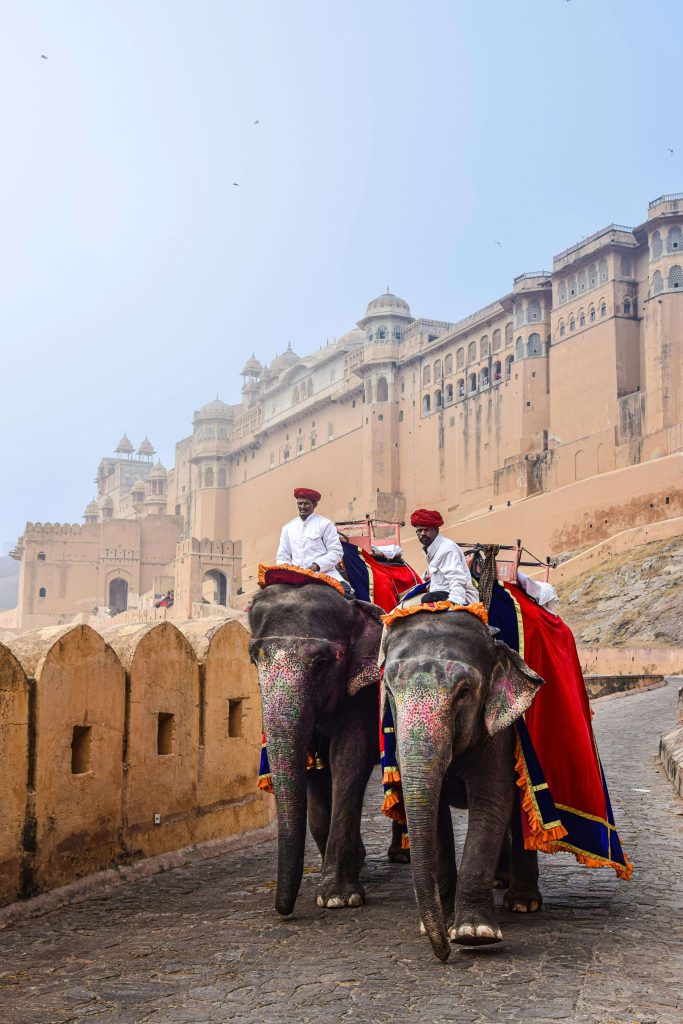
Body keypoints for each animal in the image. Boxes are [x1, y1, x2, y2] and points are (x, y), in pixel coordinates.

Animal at [248, 582, 402, 916]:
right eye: (254, 661)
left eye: (321, 663)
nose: (282, 910)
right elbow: (313, 769)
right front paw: (349, 869)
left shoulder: (362, 692)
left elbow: (349, 757)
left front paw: (338, 897)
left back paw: (400, 855)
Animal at [381, 607, 546, 962]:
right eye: (388, 691)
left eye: (464, 692)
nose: (443, 954)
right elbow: (435, 814)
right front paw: (440, 923)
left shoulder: (498, 732)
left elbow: (492, 801)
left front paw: (473, 933)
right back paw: (501, 882)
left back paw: (523, 902)